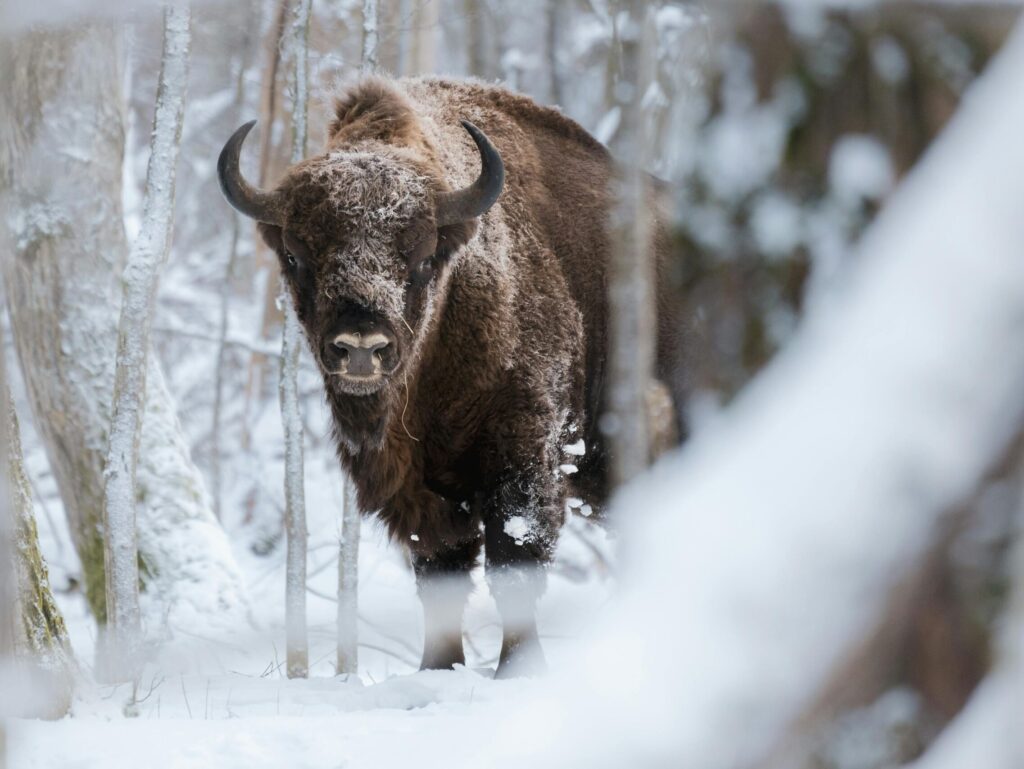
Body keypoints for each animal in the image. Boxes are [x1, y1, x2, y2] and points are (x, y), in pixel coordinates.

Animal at [218, 78, 679, 675]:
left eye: (421, 259)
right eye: (297, 256)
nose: (361, 347)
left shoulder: (525, 460)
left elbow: (514, 567)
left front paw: (518, 671)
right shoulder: (423, 492)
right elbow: (440, 574)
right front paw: (437, 670)